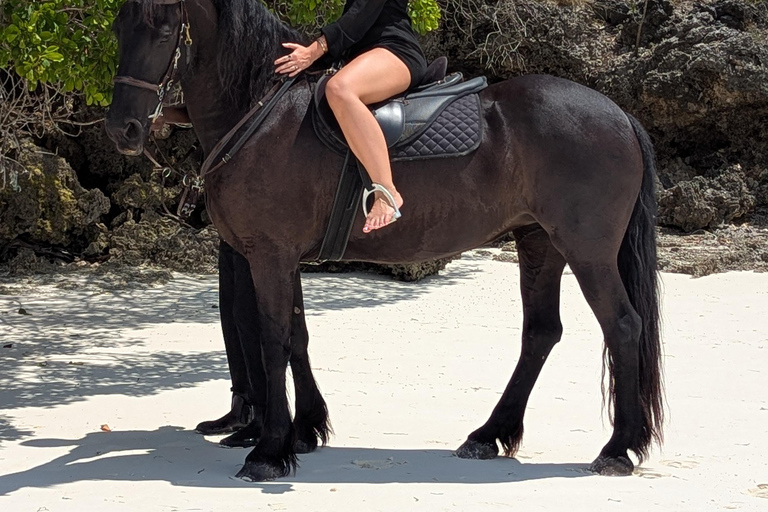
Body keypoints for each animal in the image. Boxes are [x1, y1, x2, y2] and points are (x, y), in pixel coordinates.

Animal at [105, 0, 664, 482]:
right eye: (118, 27)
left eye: (161, 29)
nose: (123, 129)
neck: (263, 111)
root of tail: (619, 115)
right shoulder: (283, 259)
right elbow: (297, 337)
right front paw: (304, 430)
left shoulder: (269, 256)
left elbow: (272, 340)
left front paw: (268, 450)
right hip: (539, 245)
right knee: (541, 333)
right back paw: (489, 434)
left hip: (587, 251)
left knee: (623, 325)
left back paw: (617, 448)